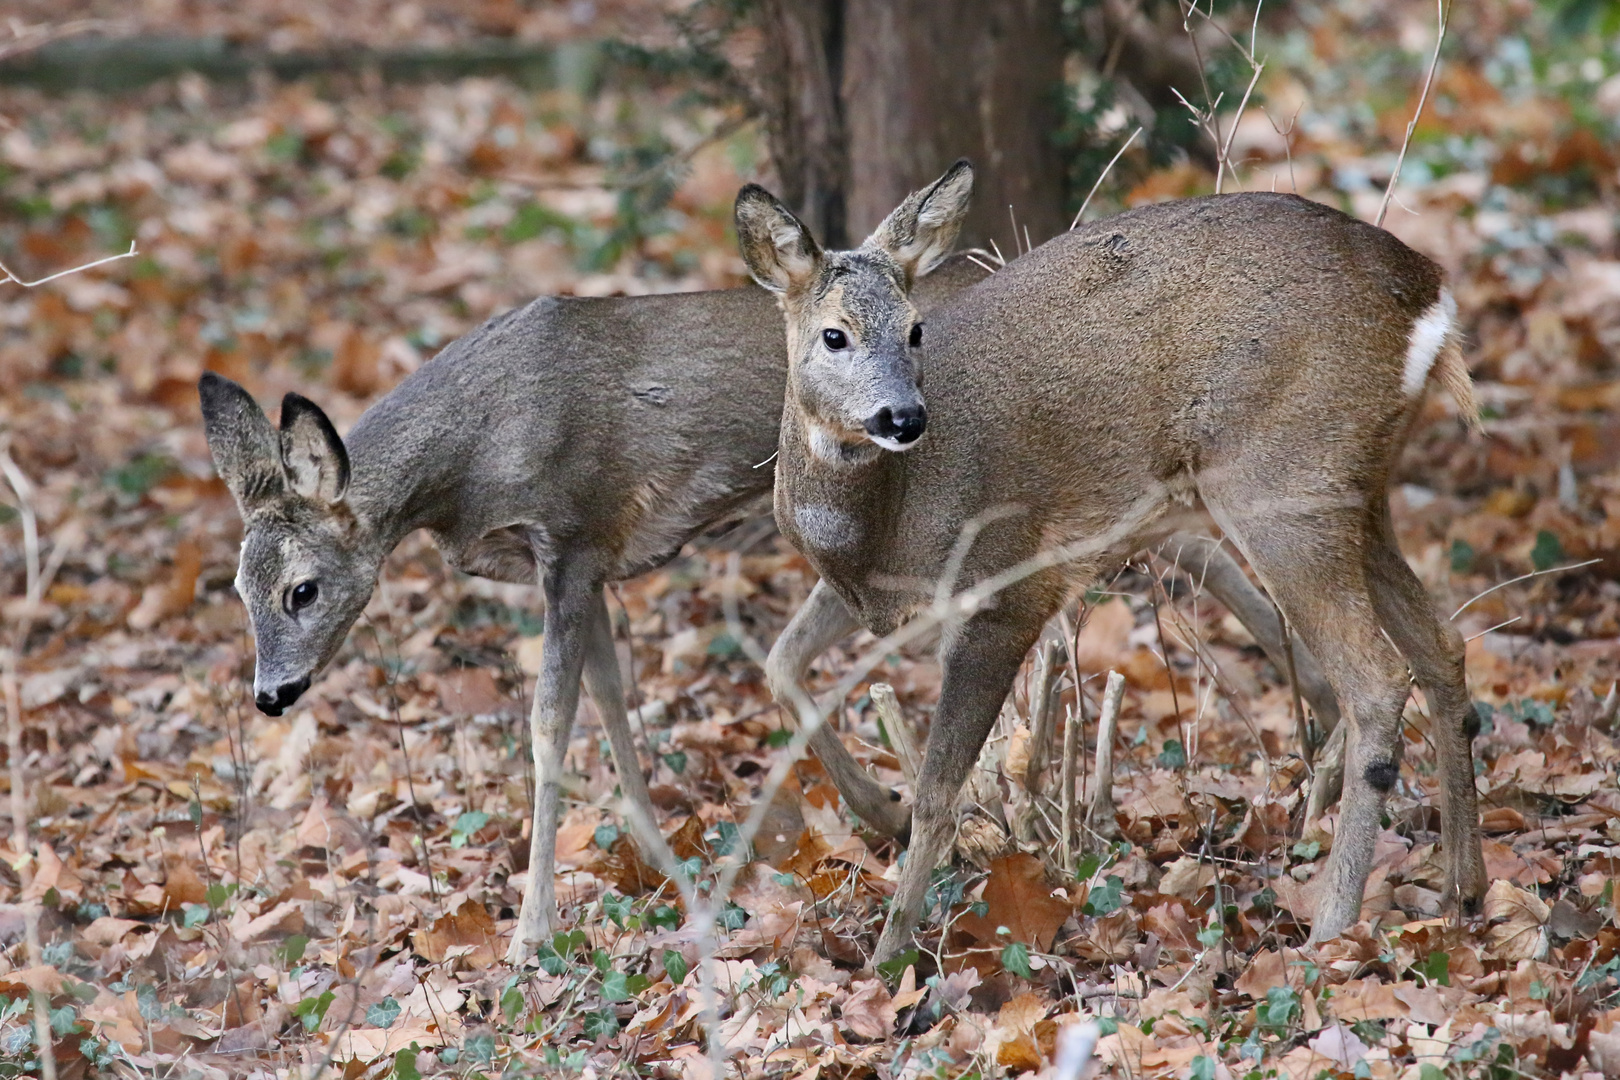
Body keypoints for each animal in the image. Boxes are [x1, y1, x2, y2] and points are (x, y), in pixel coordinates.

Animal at [741, 162, 1483, 965]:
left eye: (913, 329)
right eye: (834, 335)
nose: (903, 418)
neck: (879, 528)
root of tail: (1429, 294)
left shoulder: (1006, 585)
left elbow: (942, 788)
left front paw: (892, 953)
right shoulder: (869, 595)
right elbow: (780, 663)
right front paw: (882, 810)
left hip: (1284, 483)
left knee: (1376, 680)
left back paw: (1332, 927)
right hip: (1357, 491)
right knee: (1443, 647)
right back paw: (1463, 890)